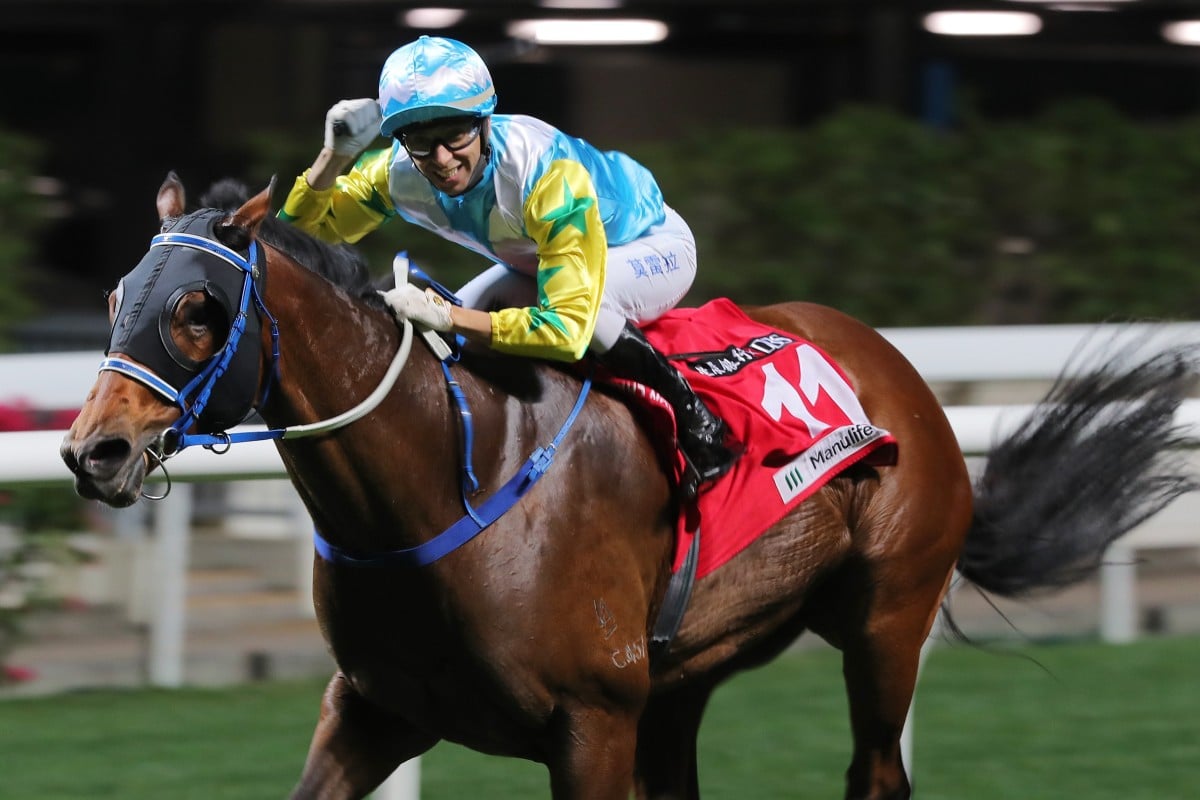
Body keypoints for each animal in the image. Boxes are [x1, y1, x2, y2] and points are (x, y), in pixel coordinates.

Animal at [60, 172, 1195, 796]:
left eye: (198, 308)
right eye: (116, 295)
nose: (93, 451)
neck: (440, 481)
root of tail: (899, 371)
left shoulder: (591, 722)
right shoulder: (376, 710)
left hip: (885, 619)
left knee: (879, 768)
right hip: (682, 682)